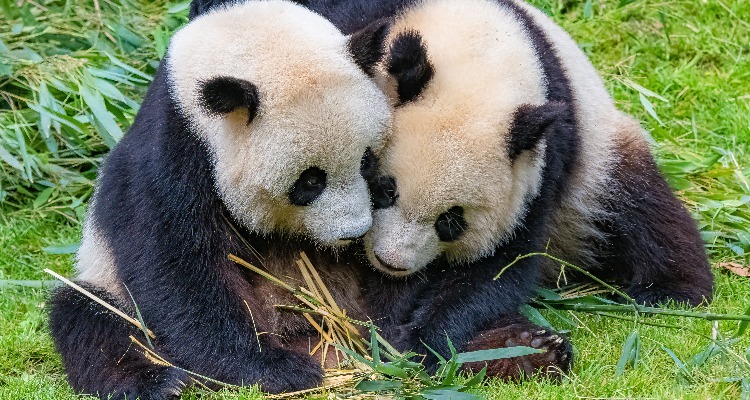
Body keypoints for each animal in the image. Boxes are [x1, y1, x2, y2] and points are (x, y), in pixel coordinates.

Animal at [48, 1, 394, 398]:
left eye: (366, 161)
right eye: (310, 181)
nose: (354, 233)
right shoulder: (173, 156)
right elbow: (177, 270)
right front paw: (274, 369)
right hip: (106, 282)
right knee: (89, 318)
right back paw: (157, 382)